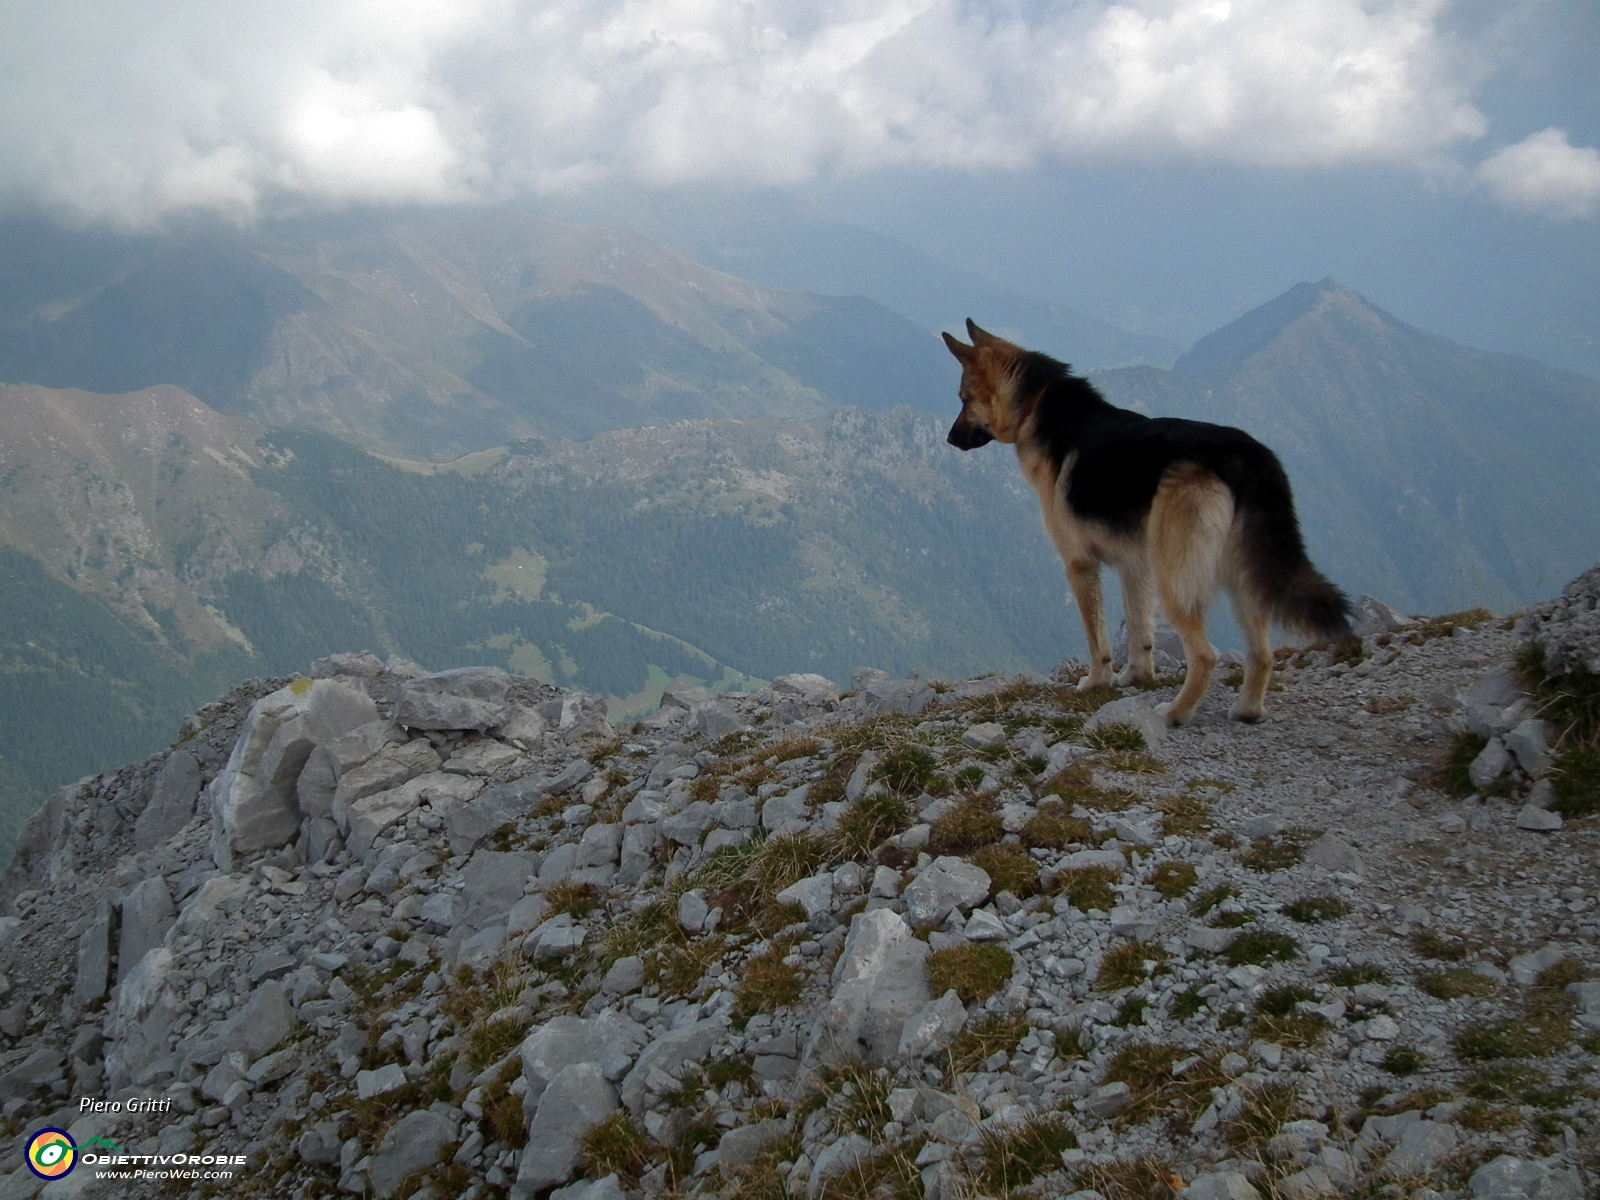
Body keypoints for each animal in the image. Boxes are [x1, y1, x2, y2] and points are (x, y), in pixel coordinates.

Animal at [934, 320, 1350, 729]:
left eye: (963, 398)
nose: (950, 439)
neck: (1036, 404)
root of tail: (1245, 457)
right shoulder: (1135, 565)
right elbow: (1138, 629)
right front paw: (1136, 676)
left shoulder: (1080, 565)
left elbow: (1097, 639)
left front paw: (1096, 682)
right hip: (1239, 576)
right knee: (1261, 653)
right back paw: (1247, 709)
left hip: (1176, 580)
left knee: (1205, 655)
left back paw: (1175, 713)